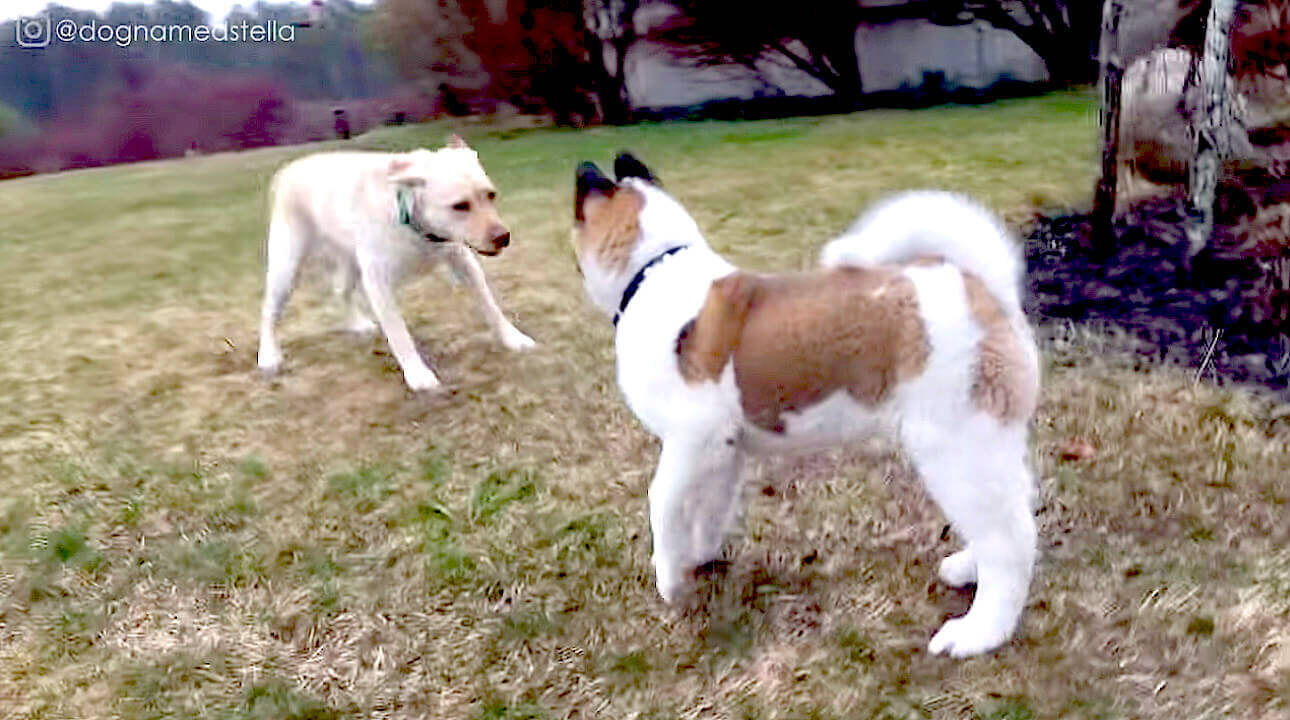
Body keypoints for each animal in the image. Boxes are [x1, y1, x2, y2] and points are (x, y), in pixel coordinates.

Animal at [256, 137, 534, 392]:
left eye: (491, 195)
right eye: (460, 206)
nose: (503, 237)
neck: (414, 224)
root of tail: (287, 171)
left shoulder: (463, 261)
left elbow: (491, 306)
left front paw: (513, 338)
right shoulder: (378, 282)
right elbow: (399, 334)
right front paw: (417, 374)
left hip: (351, 264)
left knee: (340, 290)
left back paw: (356, 323)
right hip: (287, 268)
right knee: (268, 311)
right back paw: (268, 355)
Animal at [570, 153, 1042, 660]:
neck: (655, 266)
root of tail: (985, 292)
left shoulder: (691, 440)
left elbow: (662, 502)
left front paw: (670, 579)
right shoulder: (722, 451)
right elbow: (710, 508)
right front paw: (701, 557)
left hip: (955, 450)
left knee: (1009, 541)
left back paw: (979, 632)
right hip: (987, 444)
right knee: (1014, 511)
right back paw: (968, 567)